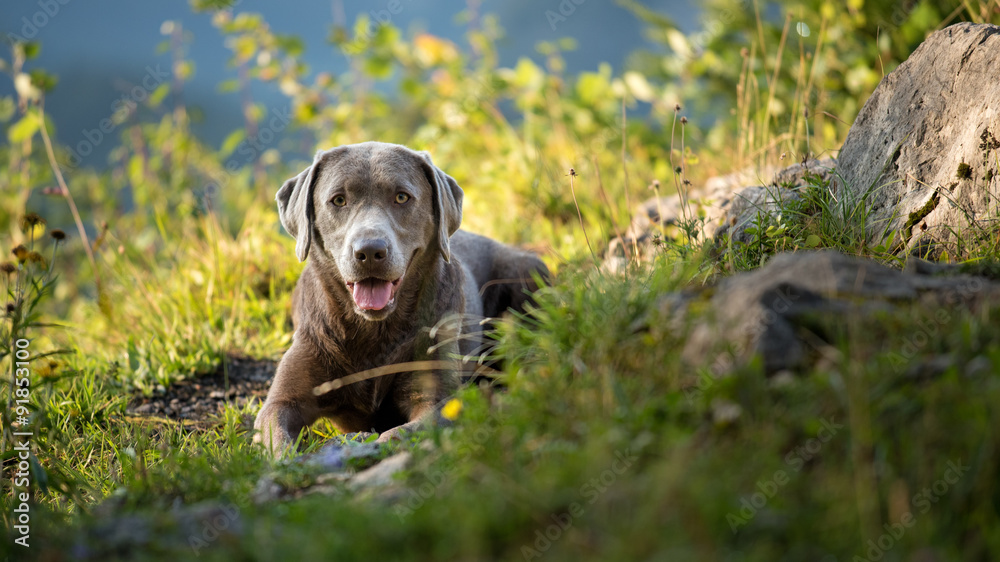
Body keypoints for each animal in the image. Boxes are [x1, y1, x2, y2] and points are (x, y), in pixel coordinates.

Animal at [250, 141, 548, 456]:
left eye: (402, 197)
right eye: (338, 200)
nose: (370, 251)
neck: (372, 332)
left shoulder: (437, 399)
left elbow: (403, 431)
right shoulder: (283, 400)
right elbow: (278, 438)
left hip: (526, 270)